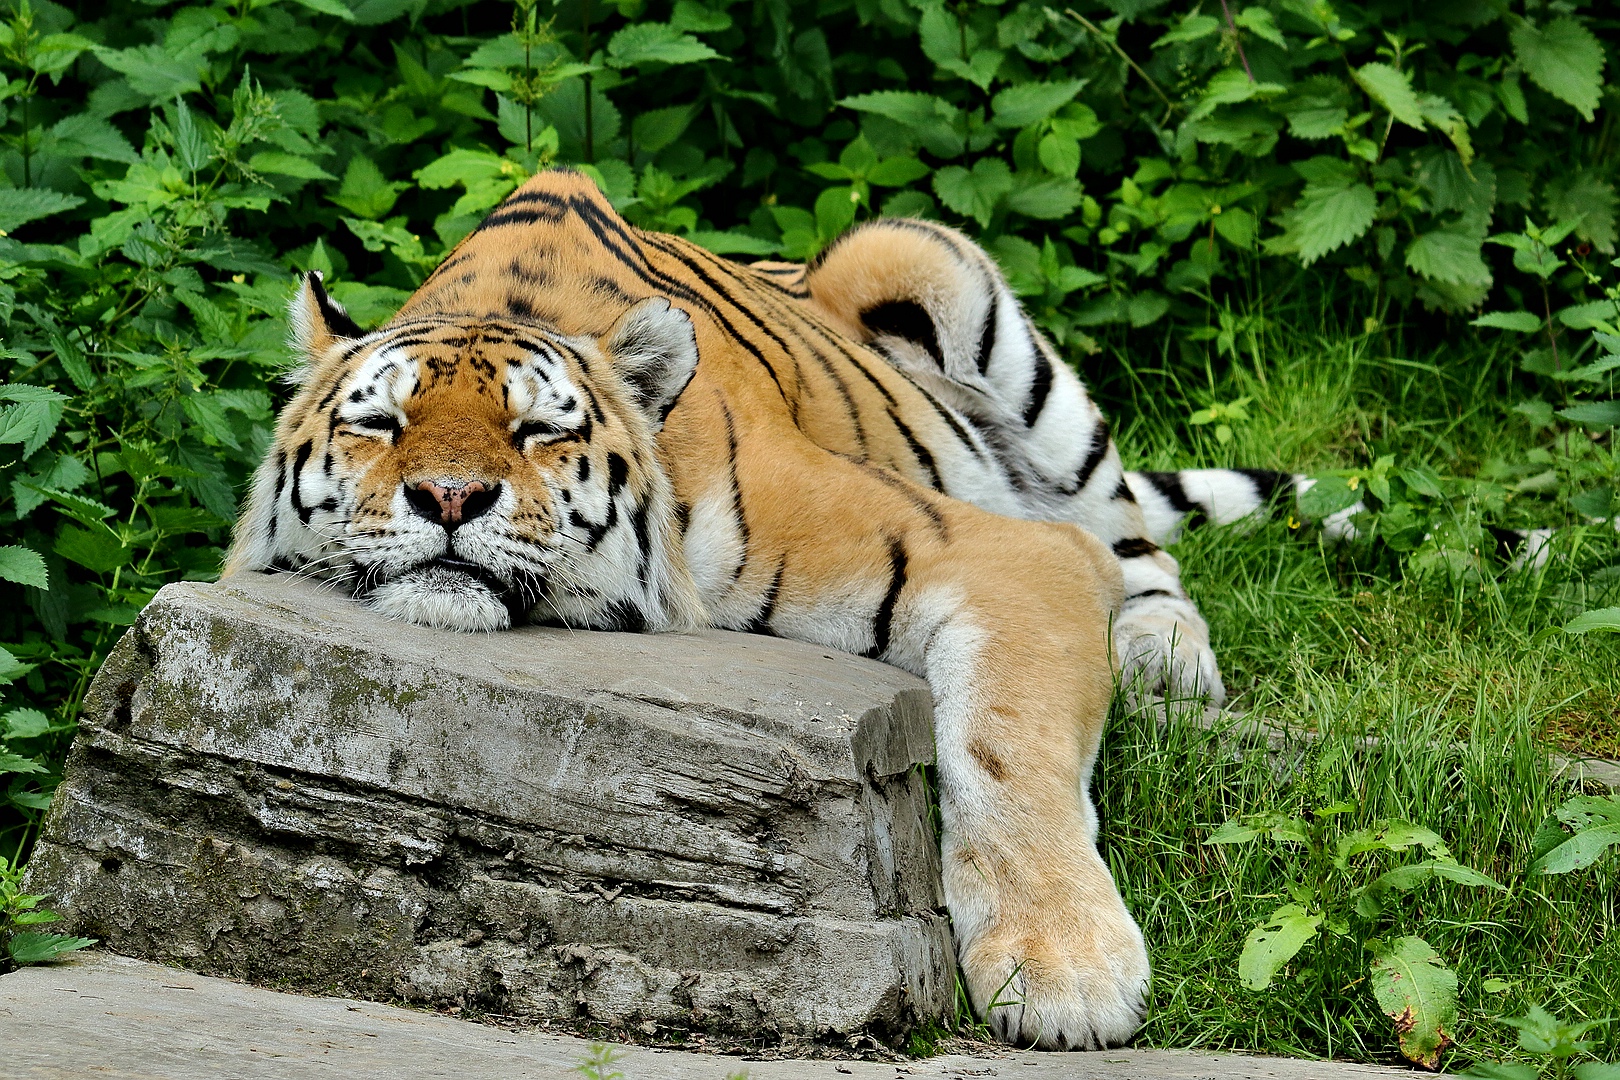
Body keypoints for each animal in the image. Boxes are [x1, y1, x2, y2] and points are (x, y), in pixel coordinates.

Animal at [228, 166, 1296, 1049]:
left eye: (537, 432)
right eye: (379, 423)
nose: (449, 497)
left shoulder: (1010, 552)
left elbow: (1005, 749)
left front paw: (1064, 978)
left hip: (936, 274)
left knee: (1134, 541)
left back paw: (1165, 659)